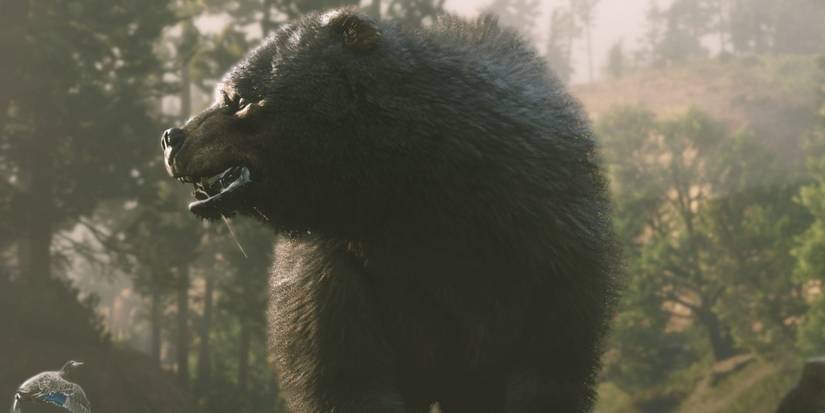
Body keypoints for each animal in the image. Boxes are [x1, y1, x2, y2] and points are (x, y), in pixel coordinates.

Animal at [161, 8, 618, 413]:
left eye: (235, 99)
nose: (171, 136)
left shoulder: (542, 259)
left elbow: (542, 375)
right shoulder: (349, 271)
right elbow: (344, 375)